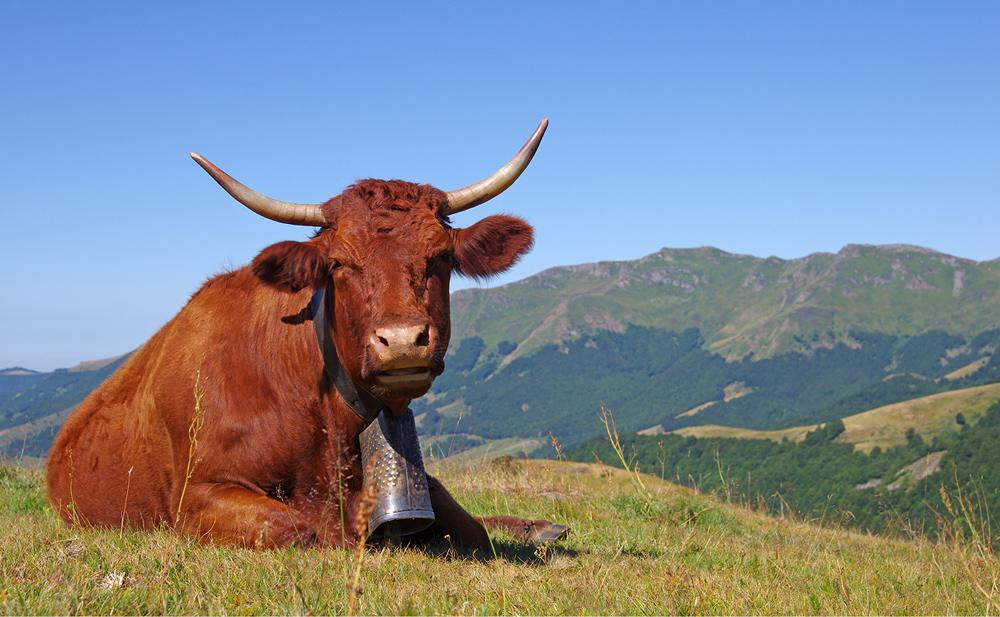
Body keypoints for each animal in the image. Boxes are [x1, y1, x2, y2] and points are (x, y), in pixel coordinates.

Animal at [46, 119, 566, 551]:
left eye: (439, 256)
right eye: (338, 263)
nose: (401, 341)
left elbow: (467, 526)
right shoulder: (195, 495)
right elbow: (295, 527)